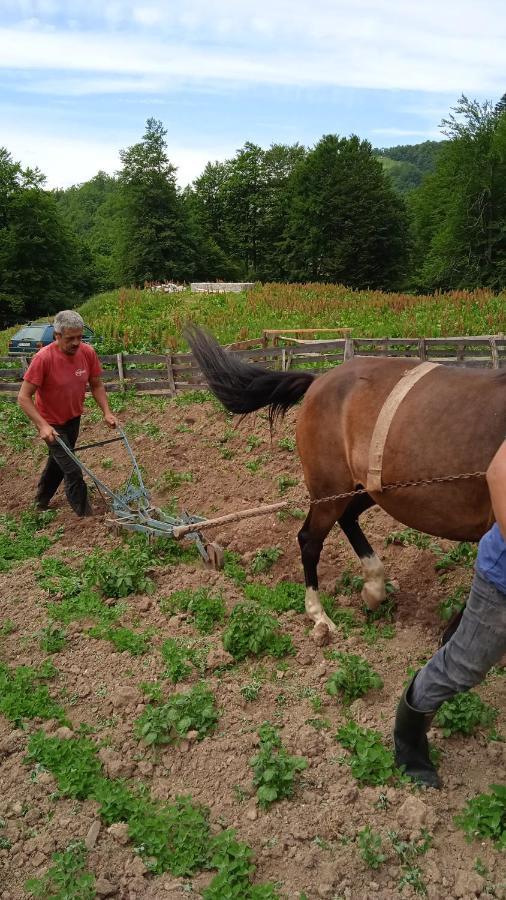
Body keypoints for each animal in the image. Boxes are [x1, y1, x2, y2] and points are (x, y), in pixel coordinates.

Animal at [186, 328, 506, 632]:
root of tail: (319, 380)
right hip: (330, 489)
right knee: (309, 539)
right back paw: (319, 615)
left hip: (368, 489)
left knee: (347, 518)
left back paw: (373, 589)